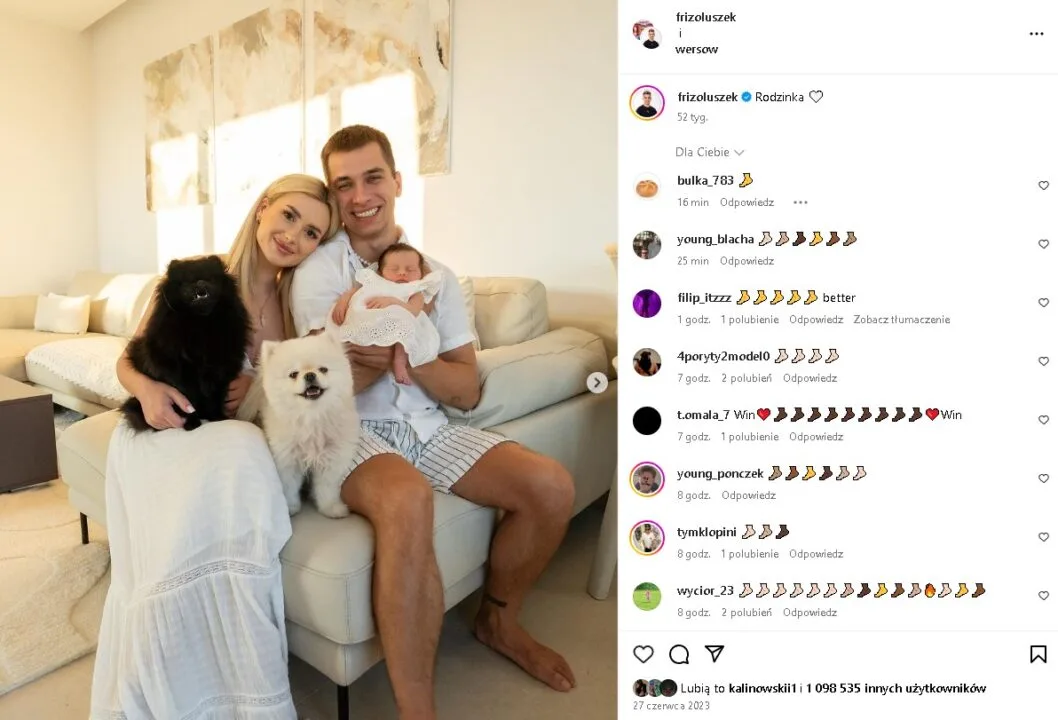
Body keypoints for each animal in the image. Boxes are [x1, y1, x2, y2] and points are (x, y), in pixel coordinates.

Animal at [120, 255, 250, 432]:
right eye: (188, 281)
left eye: (210, 278)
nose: (200, 282)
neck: (200, 322)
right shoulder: (179, 371)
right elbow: (189, 399)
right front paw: (191, 422)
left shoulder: (220, 367)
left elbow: (215, 395)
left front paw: (217, 417)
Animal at [250, 330, 359, 518]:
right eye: (293, 374)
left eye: (323, 369)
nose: (309, 375)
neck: (312, 418)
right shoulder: (287, 458)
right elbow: (289, 487)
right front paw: (290, 508)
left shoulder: (332, 456)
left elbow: (326, 487)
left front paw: (330, 508)